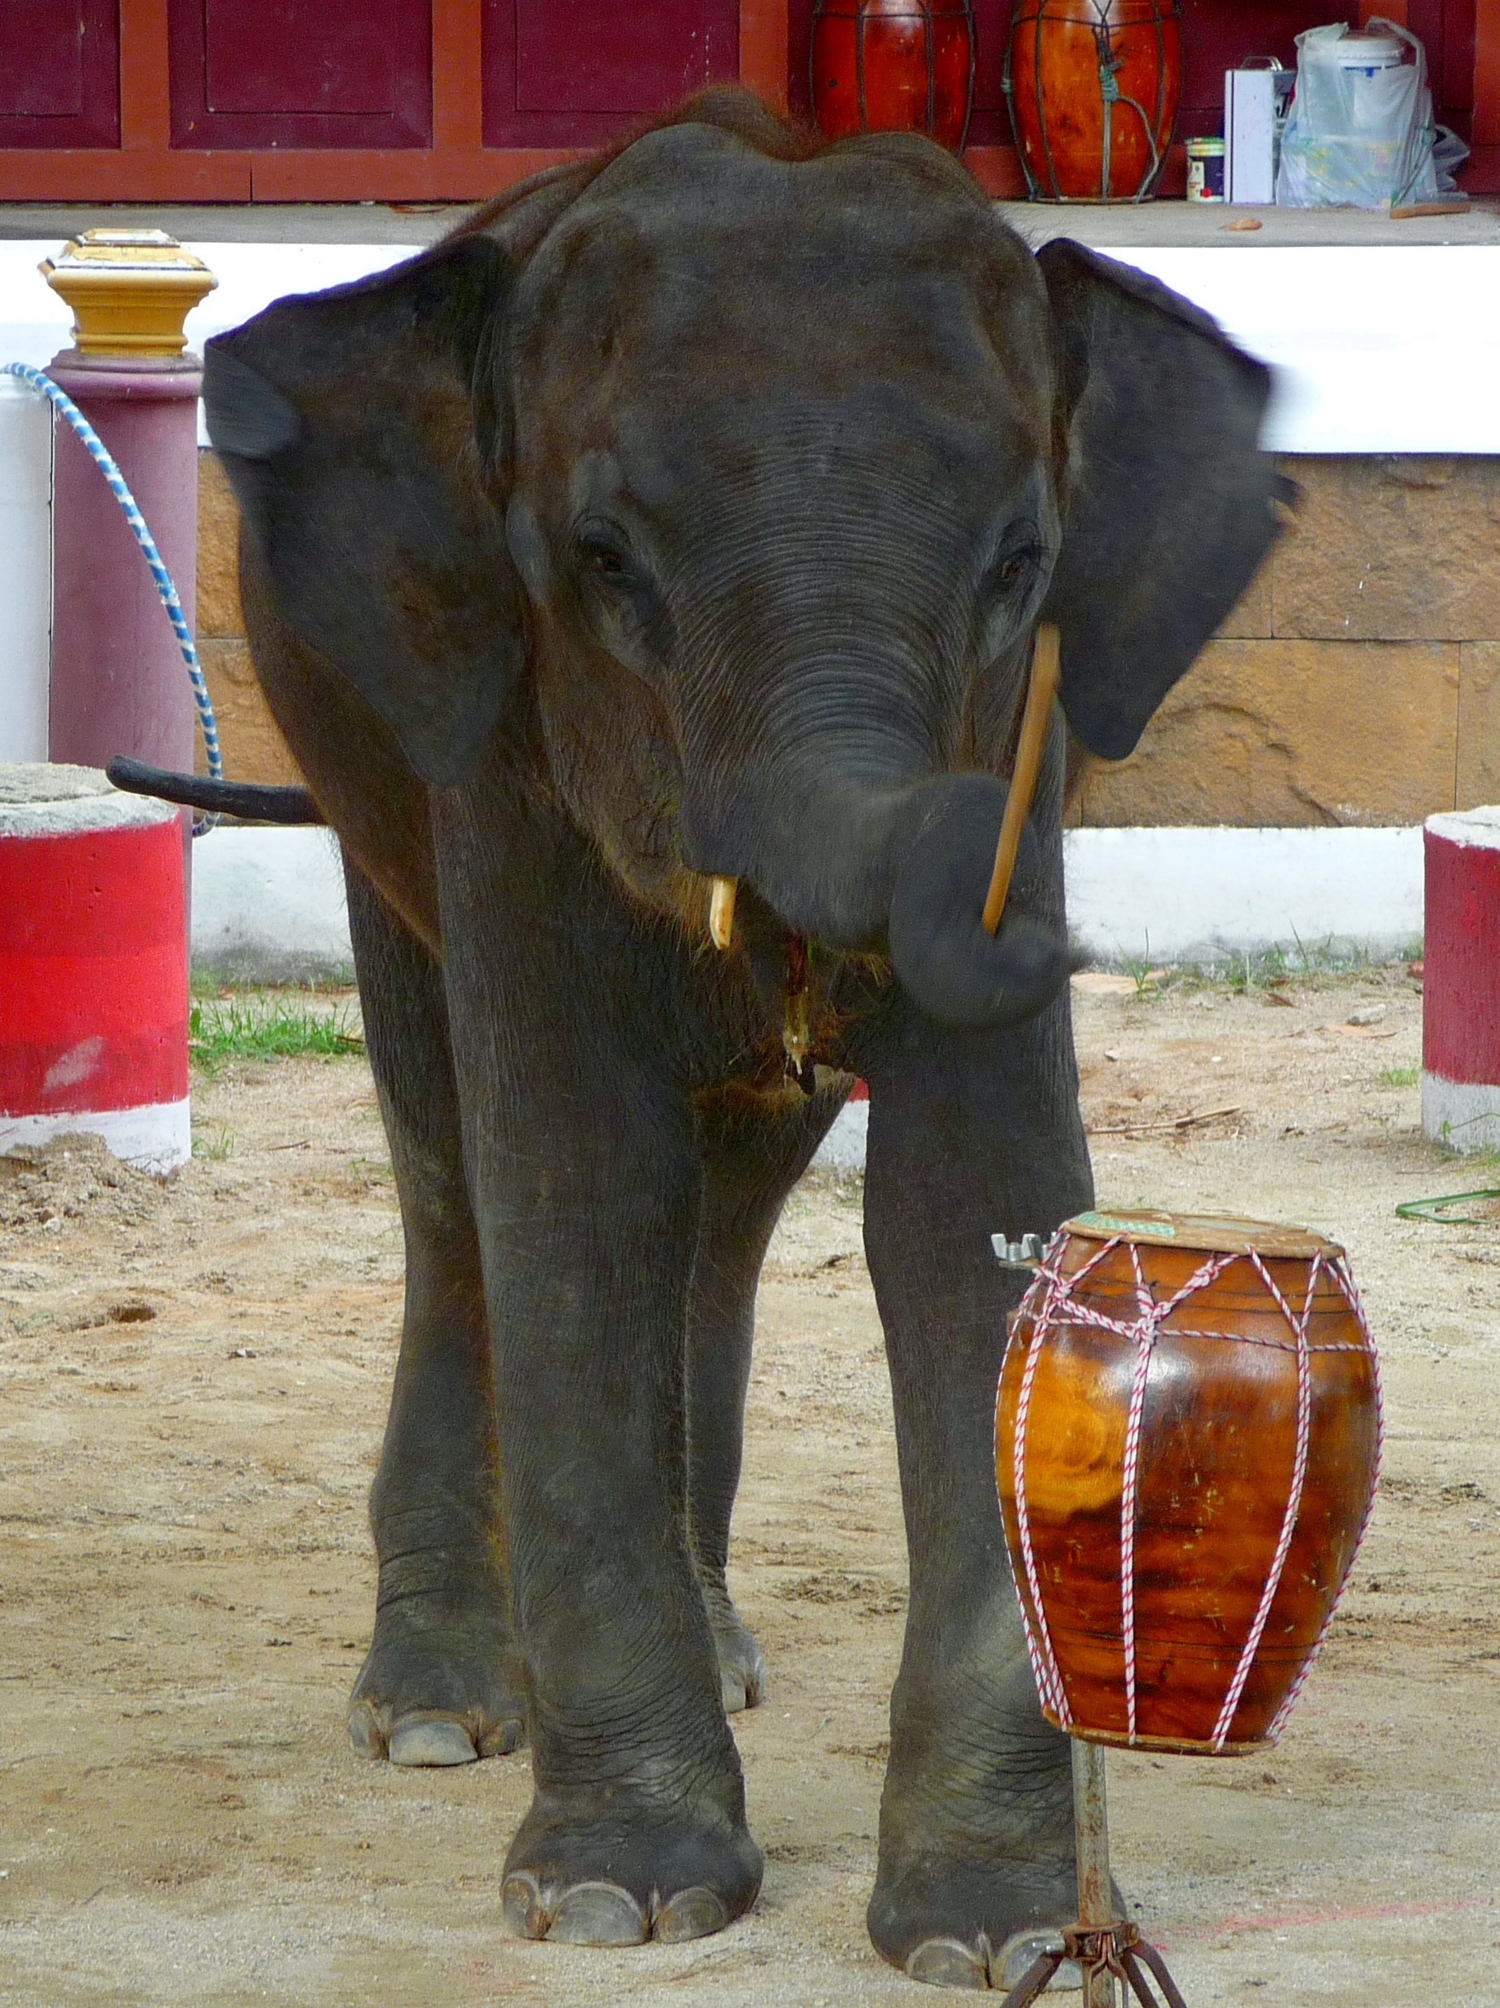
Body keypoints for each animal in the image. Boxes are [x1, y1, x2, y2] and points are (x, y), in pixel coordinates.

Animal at [196, 90, 1277, 1975]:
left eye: (1022, 567)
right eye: (604, 565)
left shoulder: (1015, 763)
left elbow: (963, 1203)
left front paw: (995, 1942)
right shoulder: (506, 761)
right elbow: (577, 1186)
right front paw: (617, 1902)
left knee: (735, 1201)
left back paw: (715, 1650)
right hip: (364, 769)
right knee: (454, 1182)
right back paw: (436, 1712)